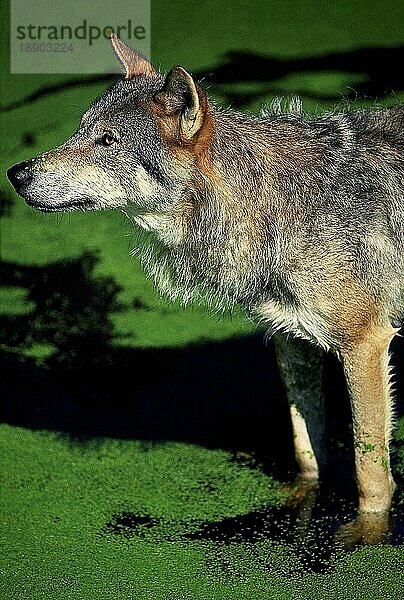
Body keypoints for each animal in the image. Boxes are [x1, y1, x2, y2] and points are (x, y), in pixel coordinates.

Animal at [7, 36, 404, 544]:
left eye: (107, 141)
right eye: (79, 131)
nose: (16, 174)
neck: (271, 205)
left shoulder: (365, 344)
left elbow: (370, 471)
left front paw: (365, 537)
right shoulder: (292, 341)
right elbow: (307, 453)